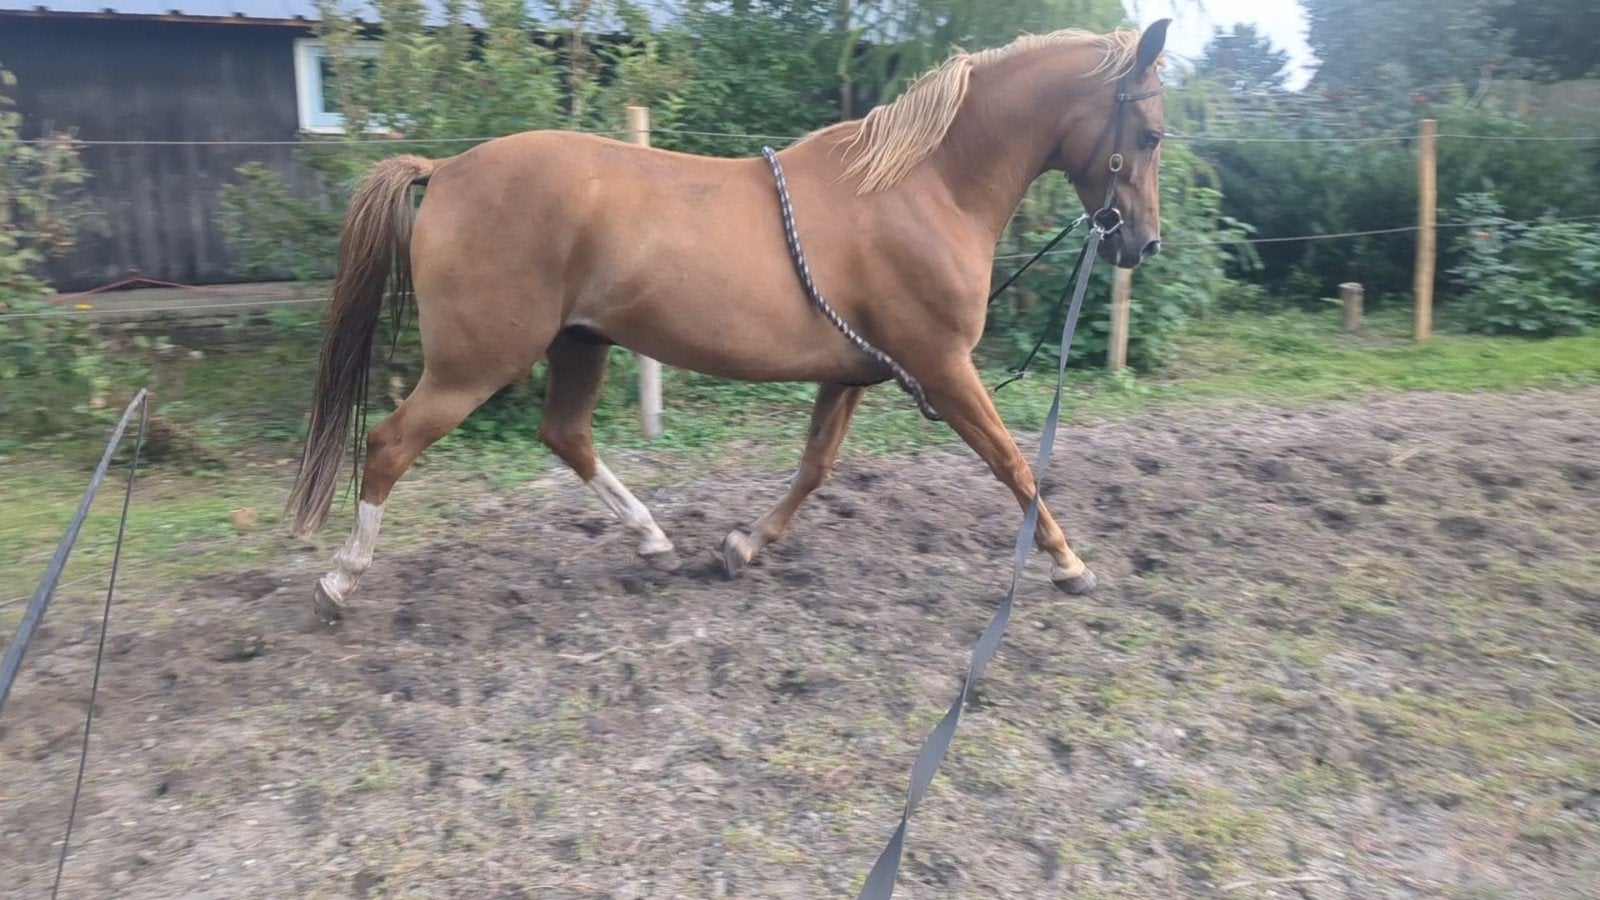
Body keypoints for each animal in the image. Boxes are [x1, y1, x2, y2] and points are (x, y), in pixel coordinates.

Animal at [286, 20, 1171, 623]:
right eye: (1152, 132)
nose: (1142, 243)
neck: (921, 189)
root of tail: (445, 170)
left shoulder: (854, 372)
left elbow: (815, 467)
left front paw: (742, 546)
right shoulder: (944, 367)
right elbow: (1015, 464)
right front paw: (1068, 562)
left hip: (579, 346)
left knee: (564, 436)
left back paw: (653, 539)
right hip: (474, 364)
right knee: (388, 445)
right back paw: (338, 581)